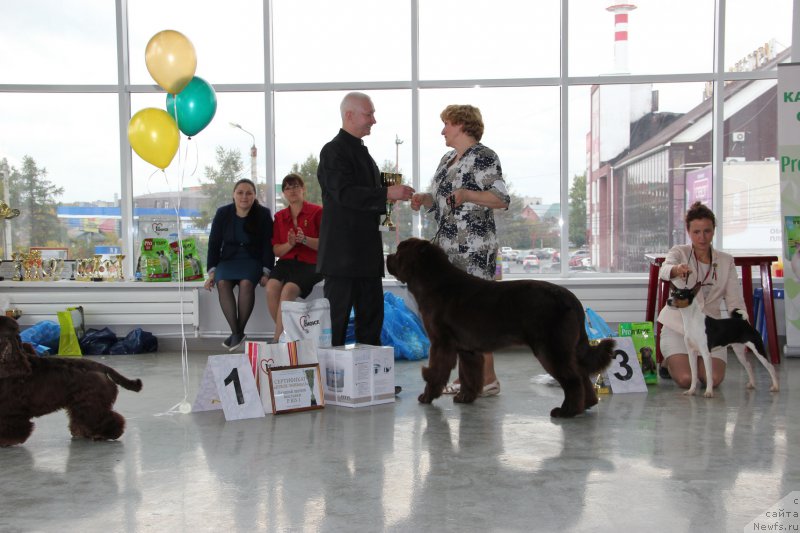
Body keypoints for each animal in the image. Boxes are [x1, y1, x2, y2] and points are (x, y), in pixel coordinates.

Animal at [0, 316, 142, 444]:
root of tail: (102, 367)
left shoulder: (12, 408)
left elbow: (10, 424)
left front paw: (7, 440)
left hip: (90, 402)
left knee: (107, 418)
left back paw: (102, 435)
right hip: (79, 403)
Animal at [384, 239, 616, 418]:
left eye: (399, 250)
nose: (387, 257)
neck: (434, 283)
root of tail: (570, 298)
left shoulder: (441, 343)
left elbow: (435, 372)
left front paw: (426, 397)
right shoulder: (467, 349)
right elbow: (470, 375)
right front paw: (465, 397)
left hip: (551, 347)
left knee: (573, 378)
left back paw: (567, 411)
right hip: (566, 347)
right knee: (581, 372)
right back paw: (586, 404)